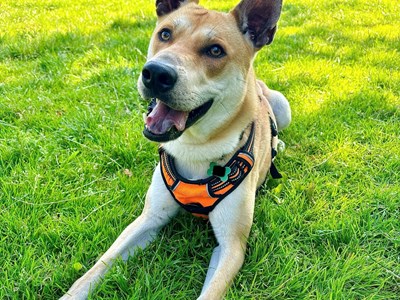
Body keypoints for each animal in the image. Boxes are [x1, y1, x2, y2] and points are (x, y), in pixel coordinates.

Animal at [60, 1, 290, 298]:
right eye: (165, 34)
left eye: (215, 50)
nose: (156, 74)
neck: (195, 148)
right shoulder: (148, 218)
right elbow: (97, 267)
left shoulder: (232, 246)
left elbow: (211, 291)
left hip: (283, 106)